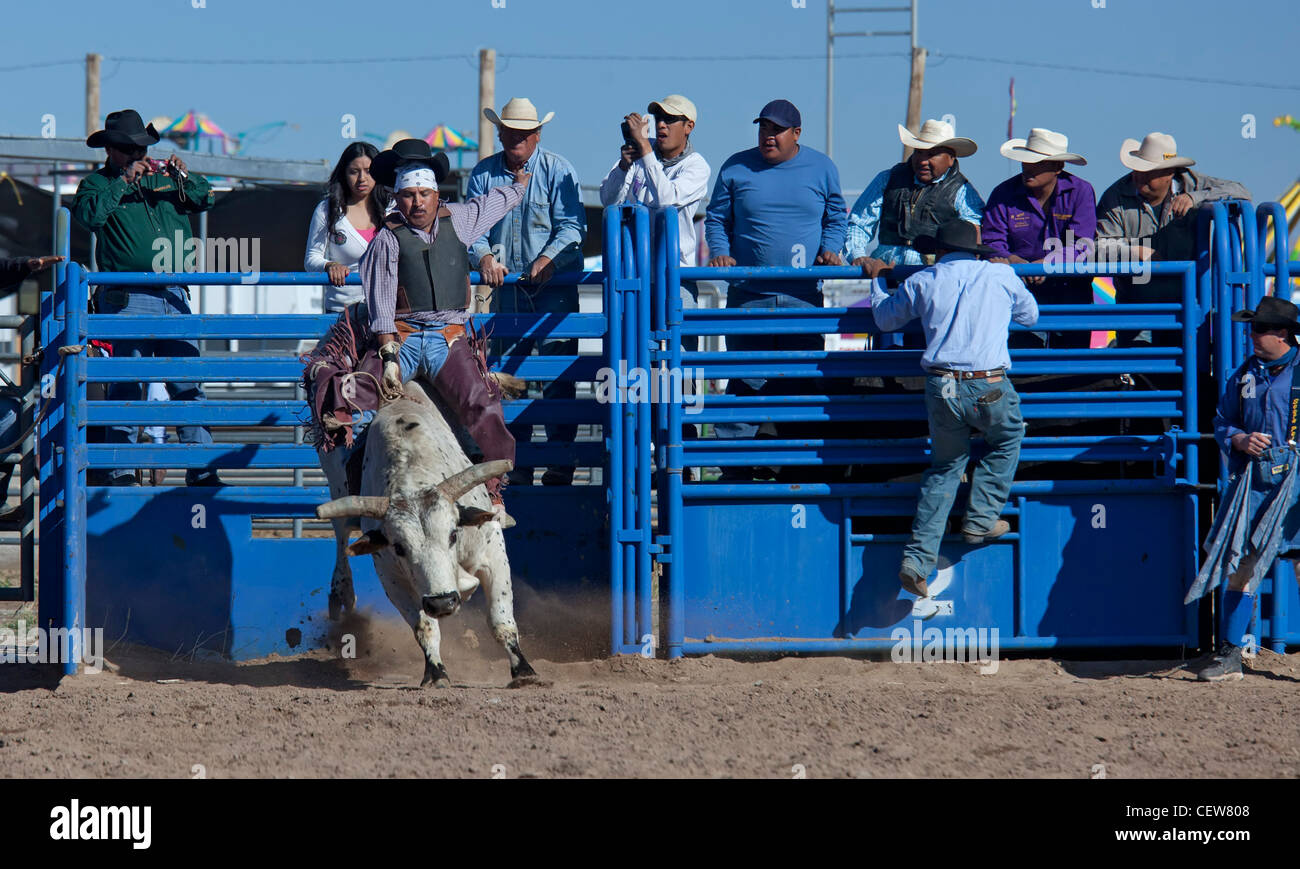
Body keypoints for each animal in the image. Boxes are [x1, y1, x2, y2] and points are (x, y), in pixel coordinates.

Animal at [315, 382, 538, 686]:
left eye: (453, 535)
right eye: (399, 548)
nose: (442, 601)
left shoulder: (493, 552)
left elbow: (500, 620)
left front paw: (523, 669)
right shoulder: (392, 578)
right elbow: (424, 626)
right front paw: (435, 672)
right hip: (336, 486)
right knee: (341, 537)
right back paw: (341, 592)